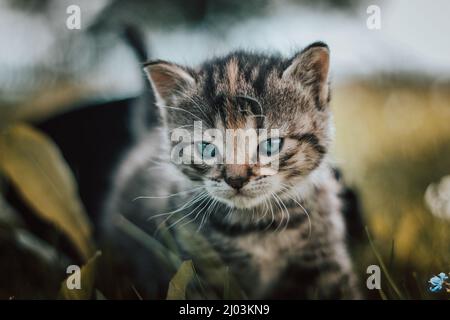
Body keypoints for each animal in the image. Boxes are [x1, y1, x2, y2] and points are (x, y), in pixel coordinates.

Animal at [100, 41, 360, 298]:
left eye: (270, 145)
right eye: (207, 149)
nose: (236, 179)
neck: (259, 226)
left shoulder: (325, 258)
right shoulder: (196, 268)